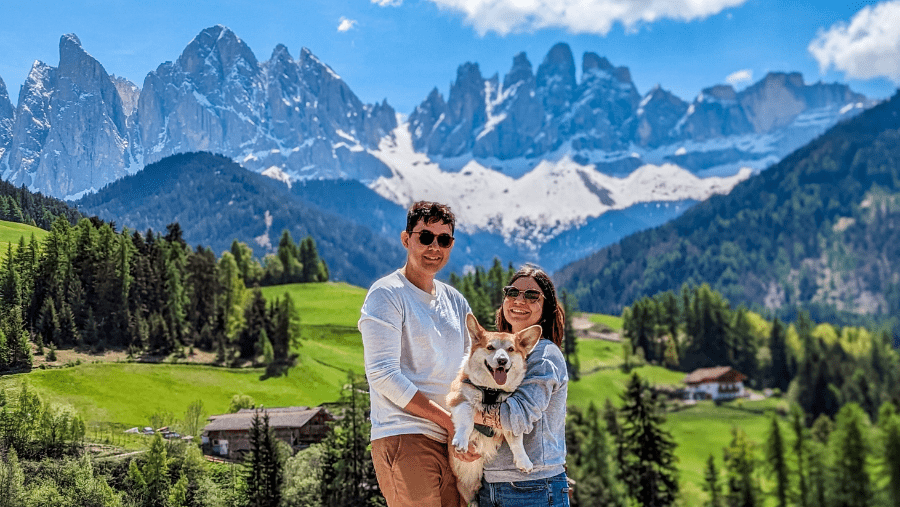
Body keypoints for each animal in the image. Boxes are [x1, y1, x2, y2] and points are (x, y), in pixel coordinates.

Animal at [444, 316, 540, 506]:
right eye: (490, 347)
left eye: (510, 349)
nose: (502, 361)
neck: (491, 390)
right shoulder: (458, 398)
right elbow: (467, 418)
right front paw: (461, 441)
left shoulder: (509, 414)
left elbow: (517, 440)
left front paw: (524, 461)